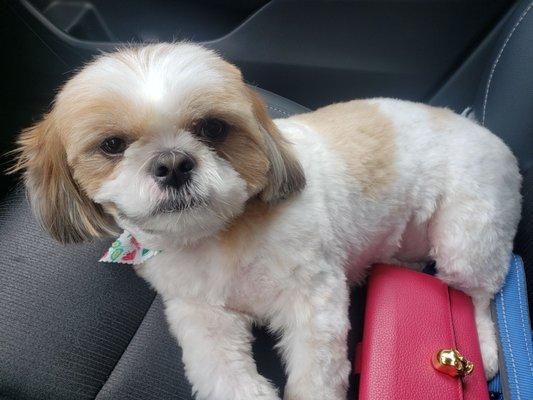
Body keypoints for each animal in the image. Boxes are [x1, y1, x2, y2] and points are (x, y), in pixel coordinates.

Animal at [10, 43, 520, 400]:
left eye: (213, 128)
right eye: (112, 145)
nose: (172, 163)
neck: (219, 237)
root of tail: (474, 124)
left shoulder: (313, 299)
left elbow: (316, 372)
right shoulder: (199, 312)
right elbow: (221, 370)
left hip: (467, 233)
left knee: (475, 295)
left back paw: (485, 349)